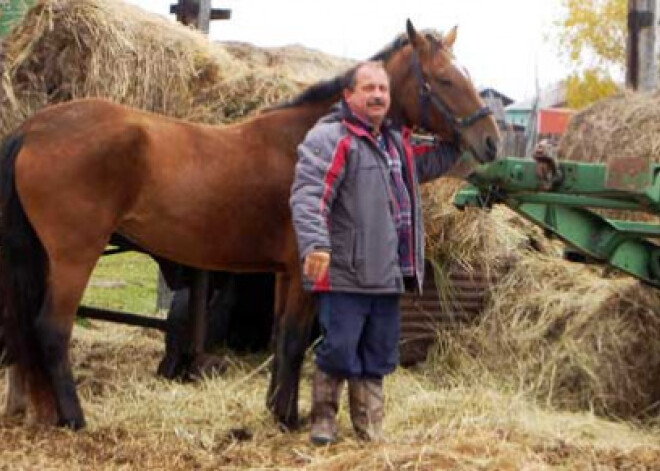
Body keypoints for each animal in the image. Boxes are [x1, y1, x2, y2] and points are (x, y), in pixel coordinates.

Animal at [0, 20, 498, 430]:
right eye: (446, 80)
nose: (491, 142)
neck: (309, 139)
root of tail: (34, 128)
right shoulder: (304, 270)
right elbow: (295, 339)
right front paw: (290, 420)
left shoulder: (282, 272)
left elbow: (279, 337)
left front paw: (276, 410)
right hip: (75, 256)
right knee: (53, 330)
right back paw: (74, 419)